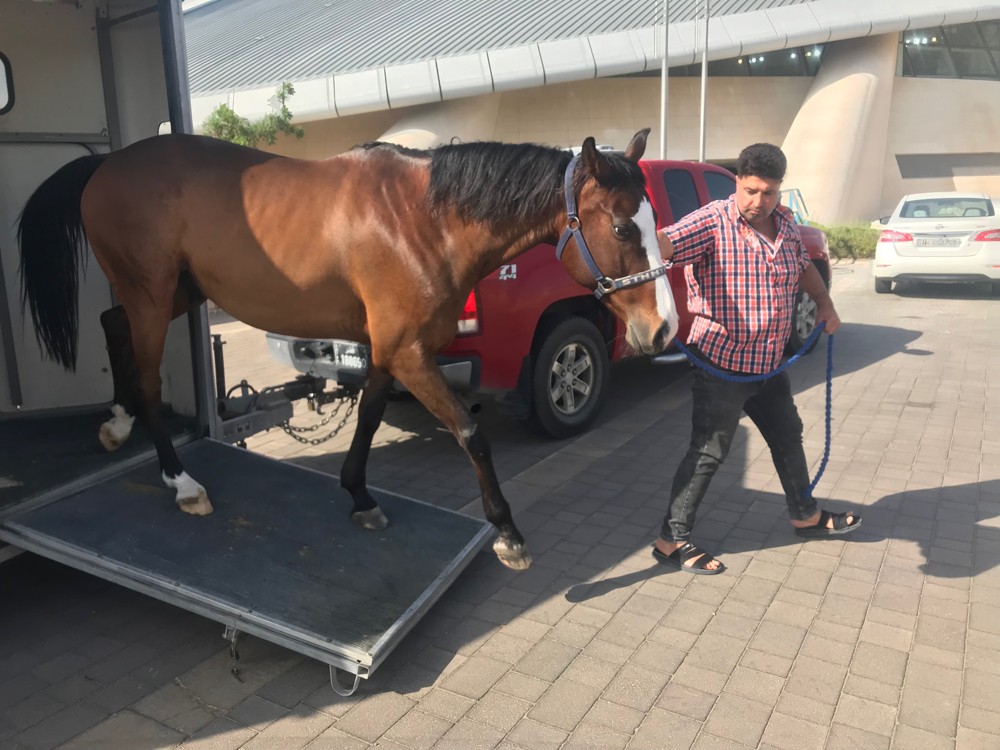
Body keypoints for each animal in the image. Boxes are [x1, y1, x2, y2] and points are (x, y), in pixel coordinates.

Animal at [18, 128, 678, 571]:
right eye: (623, 227)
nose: (665, 328)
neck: (424, 221)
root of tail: (109, 163)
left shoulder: (390, 349)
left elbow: (369, 414)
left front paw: (359, 495)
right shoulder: (411, 352)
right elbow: (471, 433)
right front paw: (507, 532)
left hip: (173, 290)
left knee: (112, 328)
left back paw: (116, 424)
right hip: (151, 293)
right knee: (150, 375)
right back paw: (181, 483)